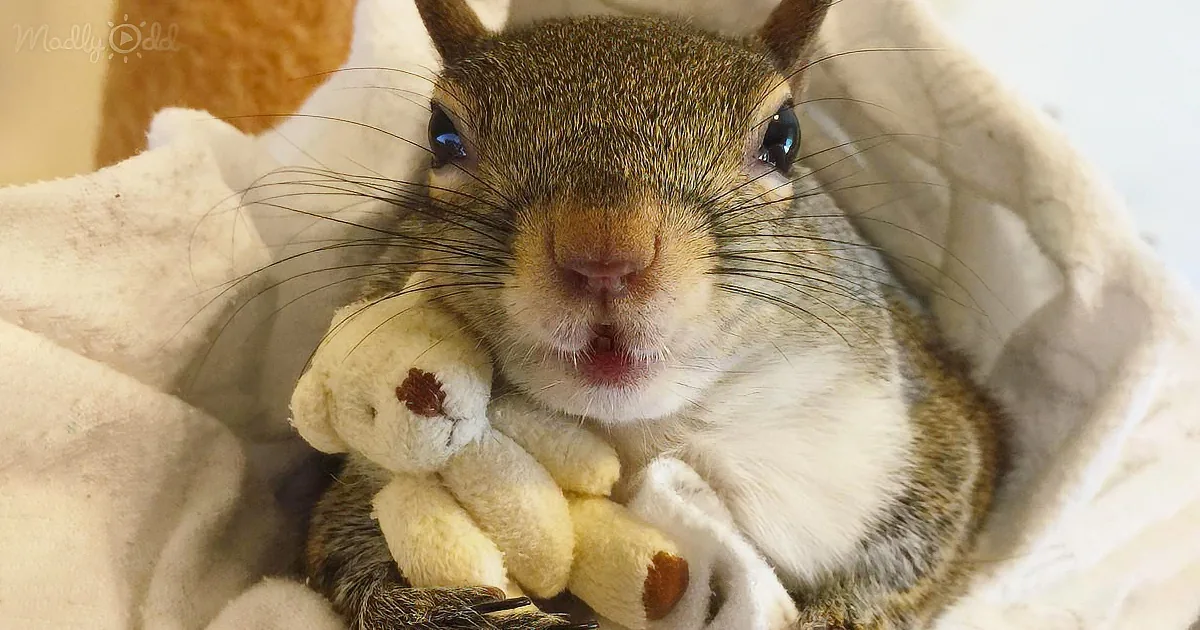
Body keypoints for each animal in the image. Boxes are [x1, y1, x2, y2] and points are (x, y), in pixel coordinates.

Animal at [302, 0, 1001, 628]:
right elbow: (338, 559)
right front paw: (447, 614)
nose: (604, 252)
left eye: (784, 137)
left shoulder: (922, 431)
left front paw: (828, 619)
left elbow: (919, 550)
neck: (641, 437)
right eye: (441, 135)